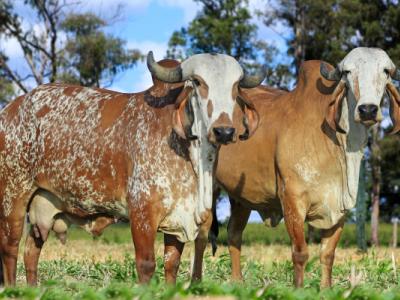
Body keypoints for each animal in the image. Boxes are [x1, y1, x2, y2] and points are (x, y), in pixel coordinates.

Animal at [0, 51, 266, 286]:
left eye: (235, 86)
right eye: (198, 82)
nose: (224, 131)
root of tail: (11, 109)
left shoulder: (178, 217)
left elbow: (172, 264)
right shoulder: (142, 213)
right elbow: (146, 265)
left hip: (41, 207)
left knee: (30, 253)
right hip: (13, 198)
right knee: (10, 248)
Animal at [191, 47, 400, 288]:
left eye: (386, 71)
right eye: (348, 72)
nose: (367, 110)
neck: (336, 145)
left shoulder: (341, 208)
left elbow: (327, 254)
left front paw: (326, 289)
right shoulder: (292, 200)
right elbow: (300, 253)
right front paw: (299, 289)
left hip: (240, 198)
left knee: (234, 233)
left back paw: (237, 282)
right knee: (201, 235)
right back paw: (196, 282)